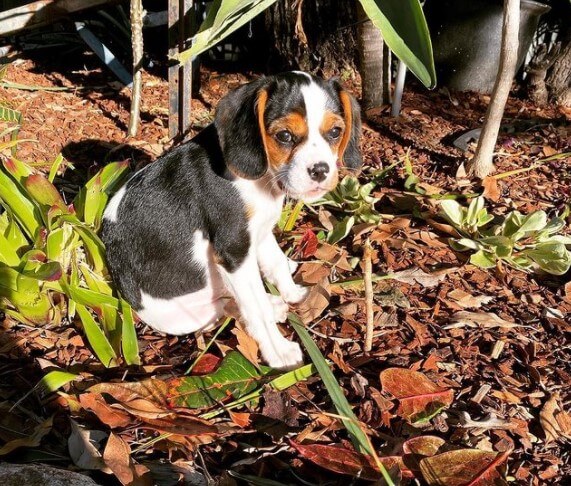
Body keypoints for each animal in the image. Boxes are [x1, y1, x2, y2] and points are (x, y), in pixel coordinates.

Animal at [101, 72, 362, 369]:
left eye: (335, 132)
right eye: (284, 135)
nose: (320, 170)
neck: (263, 181)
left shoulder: (259, 234)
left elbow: (276, 265)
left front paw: (293, 294)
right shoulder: (234, 251)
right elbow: (256, 309)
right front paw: (279, 352)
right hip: (185, 317)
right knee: (228, 307)